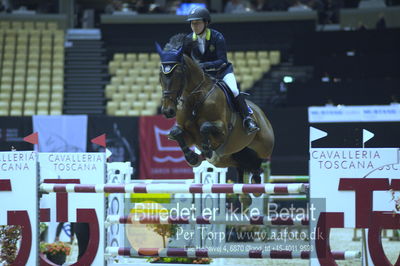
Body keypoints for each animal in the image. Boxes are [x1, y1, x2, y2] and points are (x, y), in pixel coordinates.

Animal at [155, 34, 274, 182]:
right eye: (161, 74)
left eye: (178, 73)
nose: (167, 111)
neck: (195, 99)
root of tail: (261, 114)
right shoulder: (189, 136)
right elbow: (176, 132)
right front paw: (192, 157)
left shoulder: (222, 131)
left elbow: (205, 127)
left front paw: (206, 150)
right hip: (228, 158)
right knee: (245, 166)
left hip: (264, 147)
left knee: (260, 165)